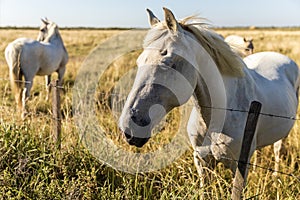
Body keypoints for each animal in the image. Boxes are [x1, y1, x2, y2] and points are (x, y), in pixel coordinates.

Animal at [118, 7, 298, 189]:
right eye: (139, 61)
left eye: (169, 63)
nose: (129, 129)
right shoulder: (202, 161)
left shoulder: (238, 167)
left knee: (277, 150)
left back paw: (275, 176)